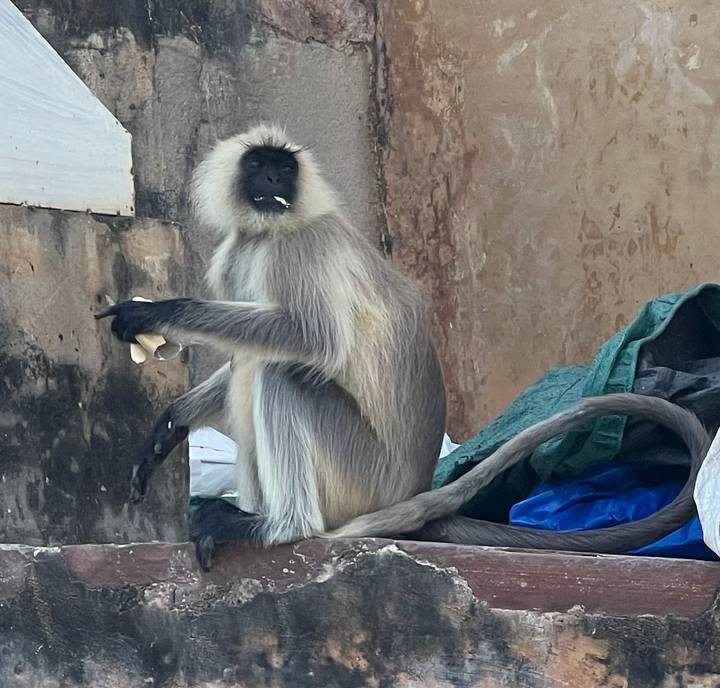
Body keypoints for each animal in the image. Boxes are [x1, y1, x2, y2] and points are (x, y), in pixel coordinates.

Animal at [96, 124, 711, 569]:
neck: (261, 237)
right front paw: (171, 424)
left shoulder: (301, 248)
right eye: (258, 164)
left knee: (281, 374)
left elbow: (311, 339)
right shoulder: (235, 255)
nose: (272, 177)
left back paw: (281, 527)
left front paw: (155, 314)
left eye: (284, 167)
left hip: (362, 478)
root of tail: (409, 490)